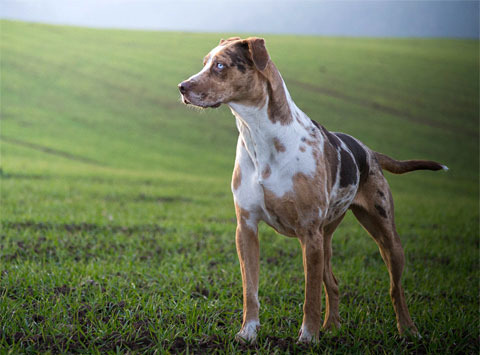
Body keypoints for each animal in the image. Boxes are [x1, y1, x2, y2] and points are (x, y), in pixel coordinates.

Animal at [178, 36, 448, 344]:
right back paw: (331, 327)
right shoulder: (246, 228)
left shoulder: (308, 231)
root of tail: (371, 152)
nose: (182, 87)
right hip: (326, 238)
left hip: (383, 234)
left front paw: (307, 338)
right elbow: (251, 290)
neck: (258, 135)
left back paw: (408, 329)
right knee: (334, 283)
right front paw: (248, 333)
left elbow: (310, 295)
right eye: (204, 63)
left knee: (395, 287)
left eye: (221, 65)